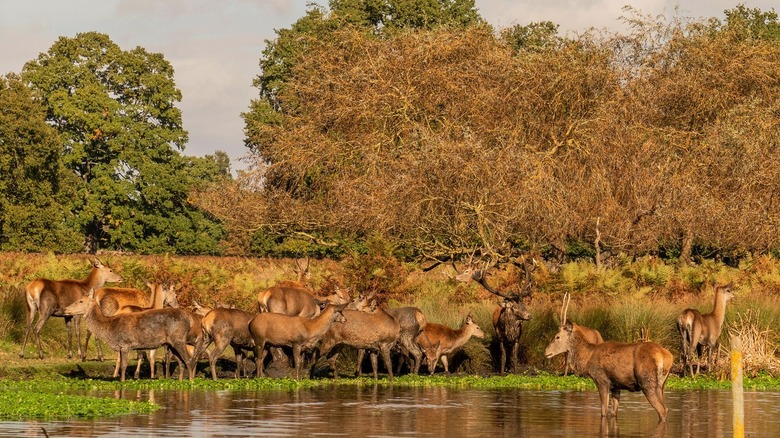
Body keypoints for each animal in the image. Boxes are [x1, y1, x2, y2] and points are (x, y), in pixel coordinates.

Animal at [62, 288, 193, 380]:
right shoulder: (121, 346)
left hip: (179, 340)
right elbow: (120, 364)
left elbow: (123, 366)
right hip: (172, 344)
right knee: (181, 362)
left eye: (81, 301)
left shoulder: (125, 344)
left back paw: (191, 381)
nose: (65, 309)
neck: (109, 328)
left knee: (188, 360)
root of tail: (188, 320)